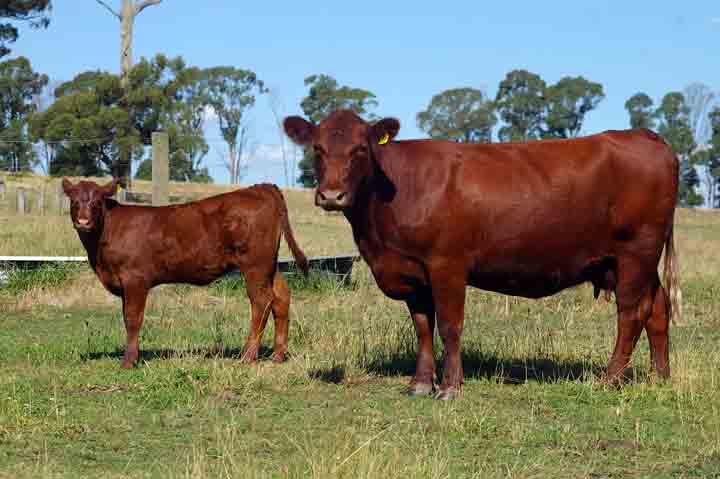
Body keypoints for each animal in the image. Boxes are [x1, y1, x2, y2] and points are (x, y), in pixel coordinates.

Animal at [63, 178, 308, 370]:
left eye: (97, 202)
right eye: (74, 202)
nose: (83, 221)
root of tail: (260, 188)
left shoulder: (135, 280)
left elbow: (132, 319)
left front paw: (129, 361)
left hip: (255, 265)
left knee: (261, 301)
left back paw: (248, 356)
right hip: (270, 266)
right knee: (281, 297)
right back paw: (277, 355)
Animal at [284, 110, 676, 400]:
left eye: (360, 150)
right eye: (317, 149)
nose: (331, 195)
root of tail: (644, 136)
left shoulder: (447, 266)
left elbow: (449, 326)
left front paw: (449, 387)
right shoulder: (412, 272)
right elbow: (422, 327)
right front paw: (420, 384)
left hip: (635, 252)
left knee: (631, 313)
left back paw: (610, 379)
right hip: (637, 261)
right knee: (658, 308)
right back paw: (660, 377)